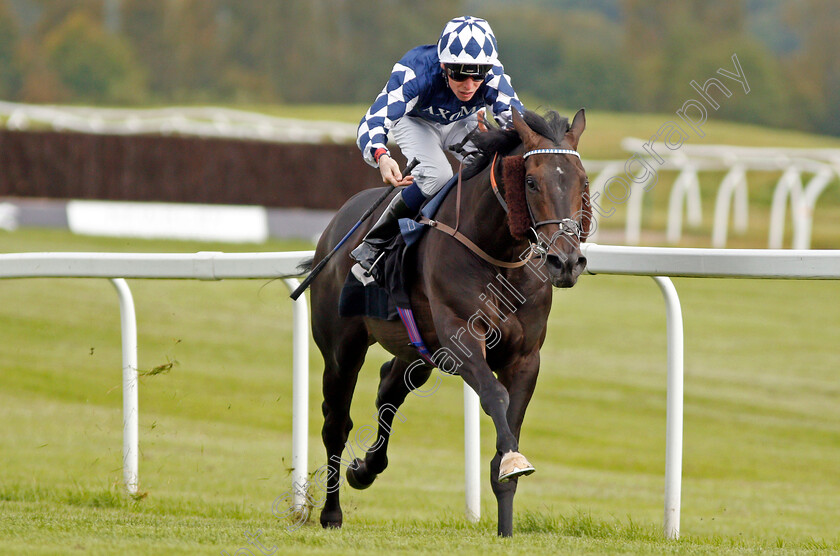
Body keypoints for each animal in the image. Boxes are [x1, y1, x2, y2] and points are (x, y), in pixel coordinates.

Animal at [306, 107, 588, 536]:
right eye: (531, 181)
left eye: (582, 180)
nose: (566, 262)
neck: (498, 254)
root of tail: (335, 226)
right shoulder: (461, 338)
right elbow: (496, 396)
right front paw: (513, 463)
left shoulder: (525, 357)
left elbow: (510, 424)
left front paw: (506, 522)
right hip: (342, 348)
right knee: (336, 424)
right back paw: (331, 513)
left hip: (418, 349)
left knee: (390, 387)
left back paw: (366, 469)